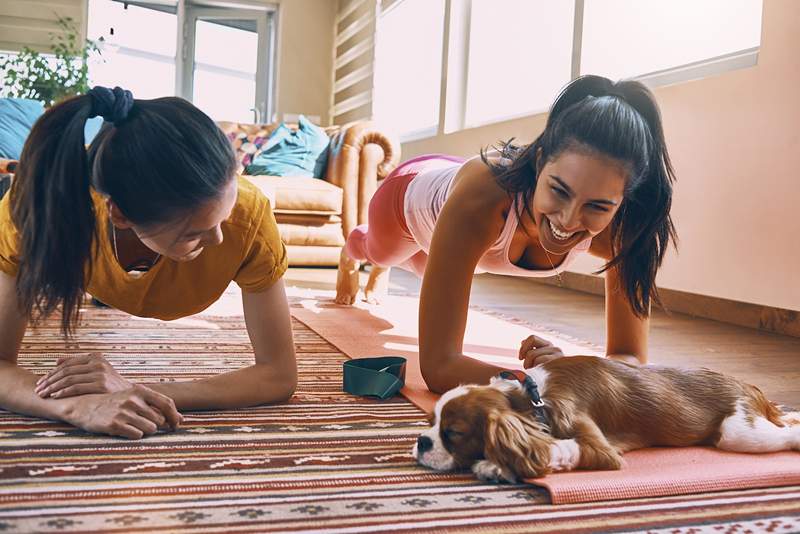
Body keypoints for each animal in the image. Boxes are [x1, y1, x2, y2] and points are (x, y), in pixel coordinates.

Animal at [412, 356, 800, 486]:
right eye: (430, 422)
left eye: (453, 433)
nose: (422, 441)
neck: (534, 397)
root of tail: (748, 385)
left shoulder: (599, 448)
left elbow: (556, 448)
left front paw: (495, 465)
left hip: (739, 431)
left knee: (784, 432)